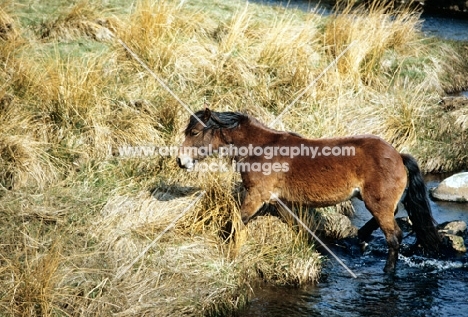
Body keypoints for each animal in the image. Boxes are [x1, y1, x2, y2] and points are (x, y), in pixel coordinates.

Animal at [176, 108, 442, 272]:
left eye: (194, 132)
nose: (180, 161)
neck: (260, 148)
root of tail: (397, 155)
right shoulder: (281, 202)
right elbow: (297, 226)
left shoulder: (256, 196)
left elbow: (237, 221)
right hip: (378, 202)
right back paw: (363, 239)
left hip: (377, 203)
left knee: (394, 236)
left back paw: (387, 270)